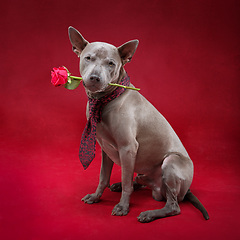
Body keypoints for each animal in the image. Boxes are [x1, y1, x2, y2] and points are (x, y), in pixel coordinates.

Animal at [67, 25, 208, 222]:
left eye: (111, 63)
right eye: (88, 58)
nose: (95, 77)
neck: (104, 100)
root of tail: (186, 191)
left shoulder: (128, 148)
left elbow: (127, 182)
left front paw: (122, 207)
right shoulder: (105, 150)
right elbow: (103, 177)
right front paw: (96, 197)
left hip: (171, 161)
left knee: (173, 206)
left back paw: (149, 214)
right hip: (143, 172)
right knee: (138, 182)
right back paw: (120, 186)